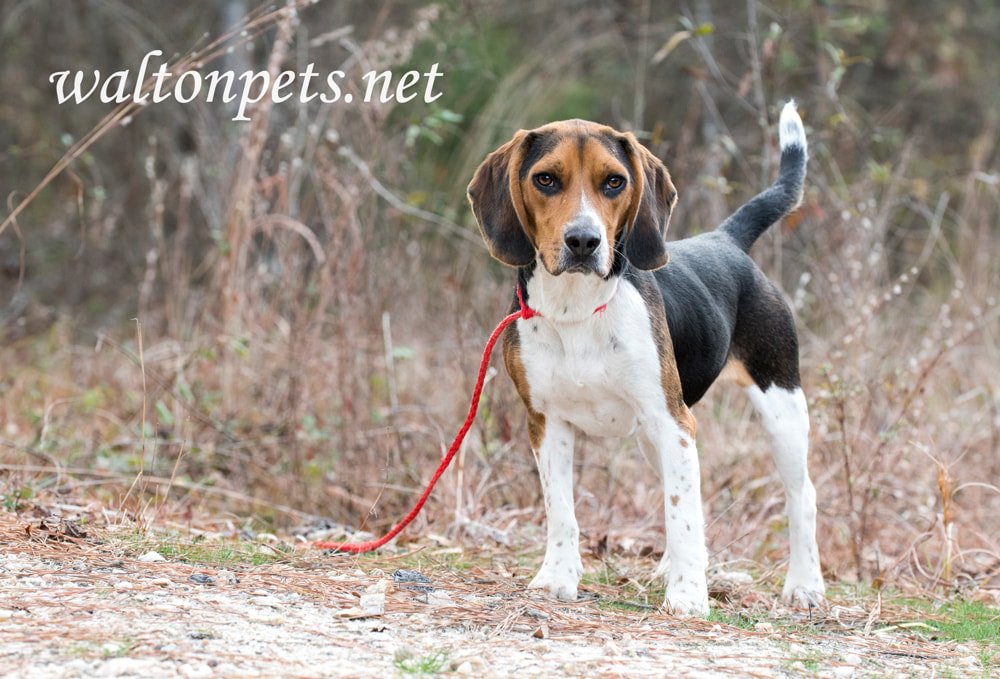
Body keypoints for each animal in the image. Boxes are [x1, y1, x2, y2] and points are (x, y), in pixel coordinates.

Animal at [472, 102, 824, 616]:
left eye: (614, 182)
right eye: (546, 179)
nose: (584, 241)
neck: (575, 310)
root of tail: (725, 240)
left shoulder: (672, 422)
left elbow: (682, 515)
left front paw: (689, 596)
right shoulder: (546, 422)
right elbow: (562, 512)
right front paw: (556, 578)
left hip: (779, 406)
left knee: (801, 497)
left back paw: (804, 585)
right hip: (653, 435)